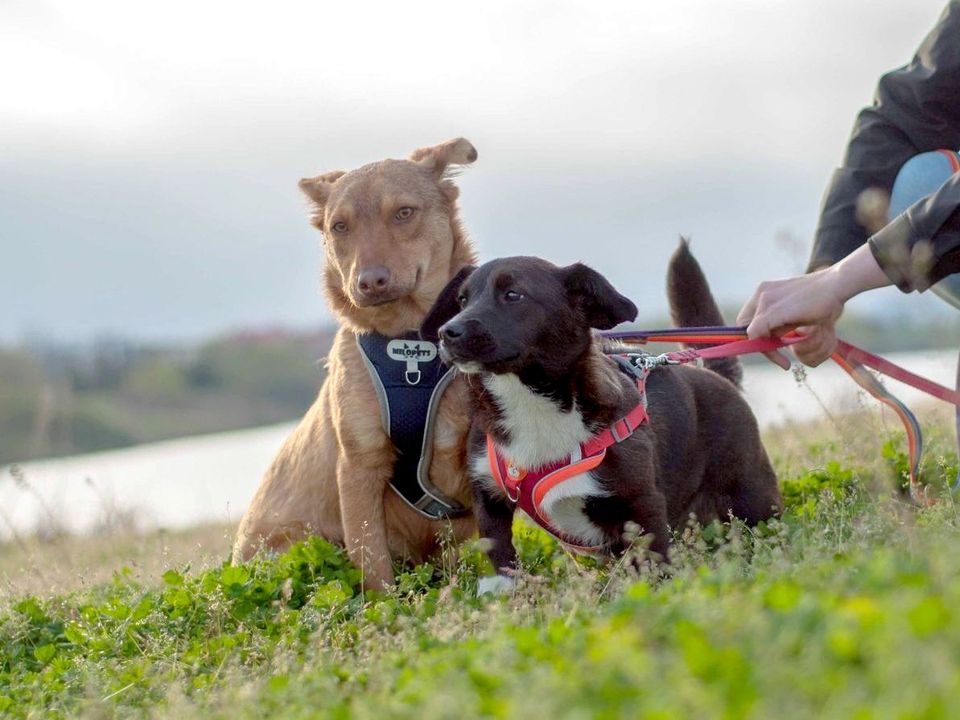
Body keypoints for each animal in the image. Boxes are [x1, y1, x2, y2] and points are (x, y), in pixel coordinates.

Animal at [234, 138, 480, 588]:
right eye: (339, 227)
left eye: (404, 212)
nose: (370, 282)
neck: (409, 345)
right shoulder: (359, 467)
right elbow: (375, 570)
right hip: (298, 548)